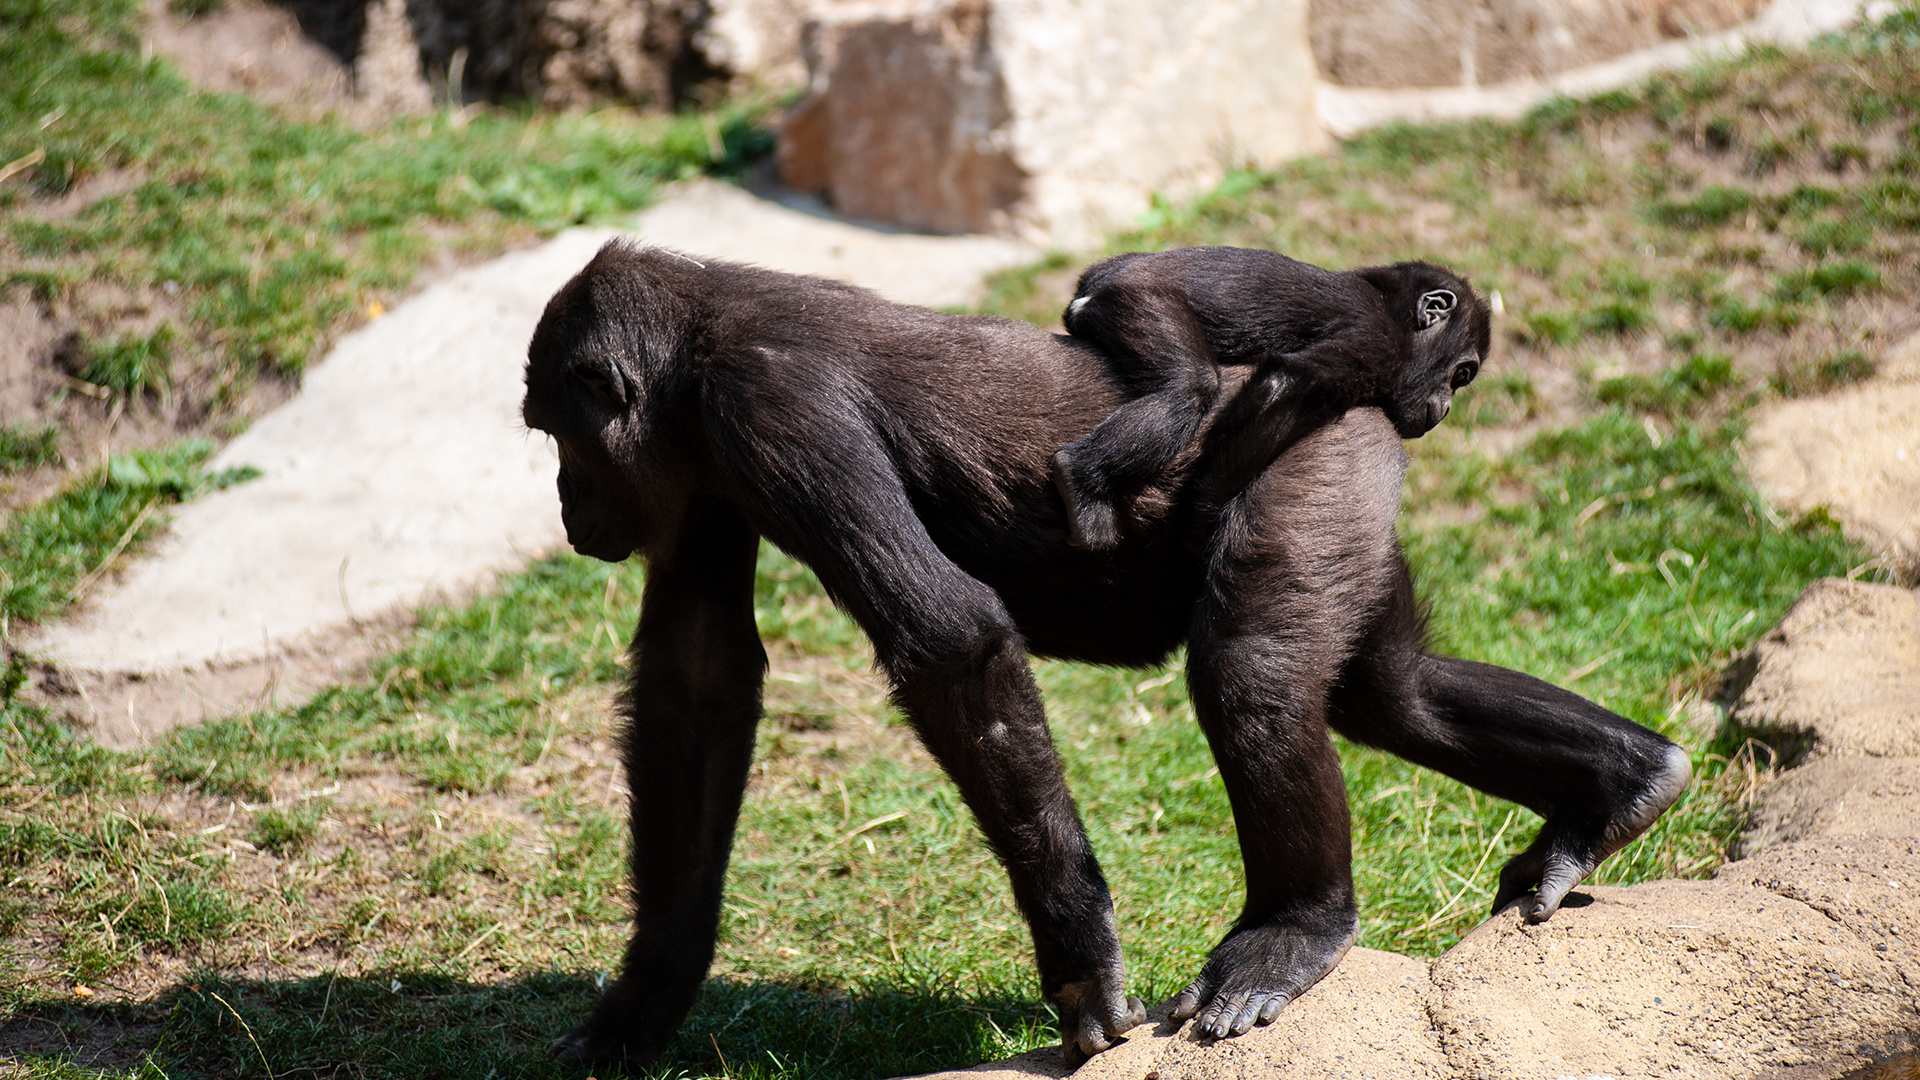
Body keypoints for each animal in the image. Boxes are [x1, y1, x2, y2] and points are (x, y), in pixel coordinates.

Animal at [1059, 244, 1489, 545]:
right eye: (1461, 374)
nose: (1446, 407)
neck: (1401, 319)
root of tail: (1088, 292)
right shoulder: (1376, 341)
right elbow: (1286, 384)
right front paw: (1203, 518)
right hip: (1138, 299)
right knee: (1189, 386)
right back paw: (1081, 479)